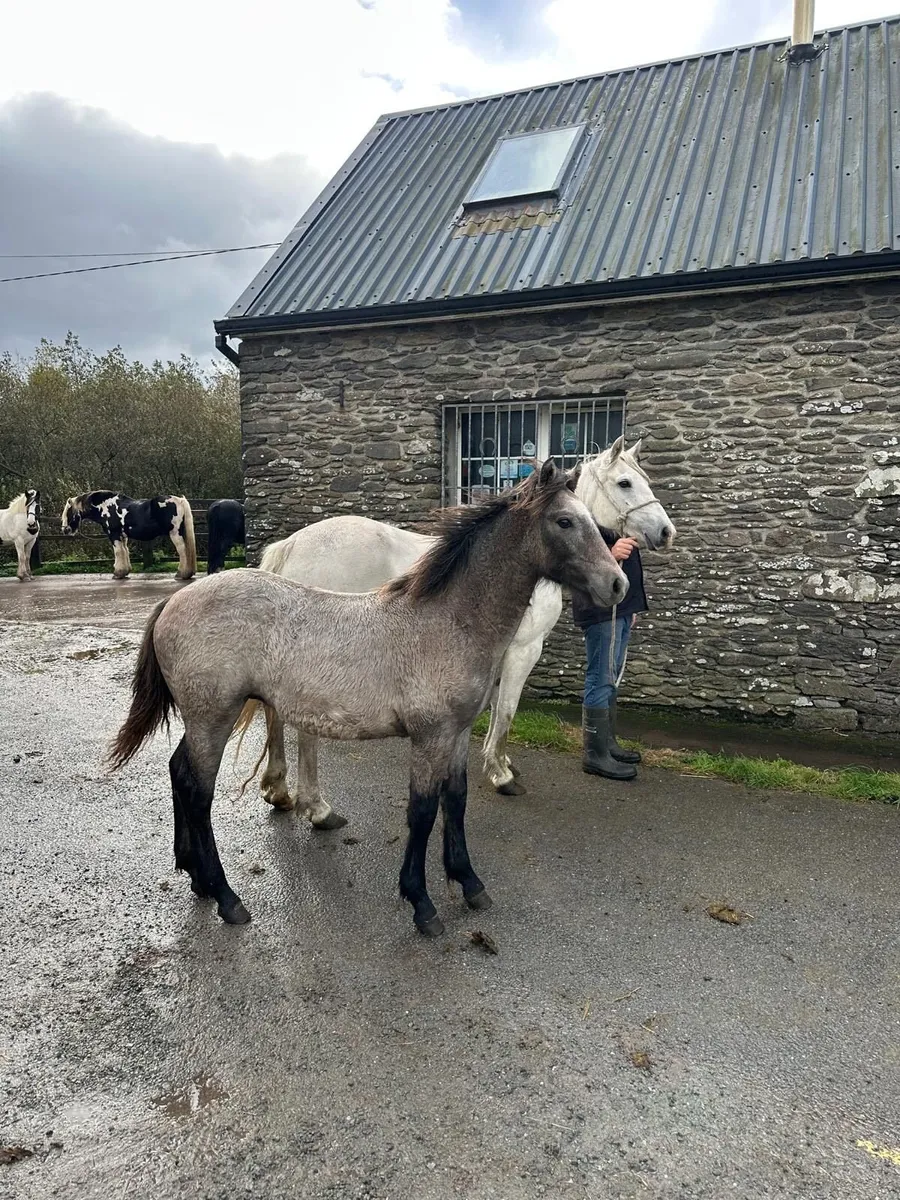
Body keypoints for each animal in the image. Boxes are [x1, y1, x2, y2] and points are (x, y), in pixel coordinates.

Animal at [60, 491, 197, 580]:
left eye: (68, 511)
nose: (65, 530)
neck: (105, 507)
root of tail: (180, 500)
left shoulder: (114, 535)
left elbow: (118, 552)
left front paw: (118, 573)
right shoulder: (123, 536)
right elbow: (125, 551)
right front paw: (124, 572)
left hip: (175, 533)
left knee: (183, 551)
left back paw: (181, 573)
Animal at [109, 462, 627, 936]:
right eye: (565, 521)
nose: (618, 584)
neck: (448, 621)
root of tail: (175, 602)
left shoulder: (458, 733)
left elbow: (455, 801)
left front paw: (469, 883)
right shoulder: (429, 737)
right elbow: (422, 811)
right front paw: (421, 904)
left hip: (201, 720)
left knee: (179, 773)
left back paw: (195, 876)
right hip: (213, 716)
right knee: (198, 792)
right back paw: (226, 897)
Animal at [253, 437, 674, 807]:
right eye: (625, 482)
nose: (665, 532)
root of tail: (291, 546)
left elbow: (493, 710)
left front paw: (499, 764)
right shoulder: (523, 652)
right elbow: (506, 711)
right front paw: (502, 775)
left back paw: (278, 789)